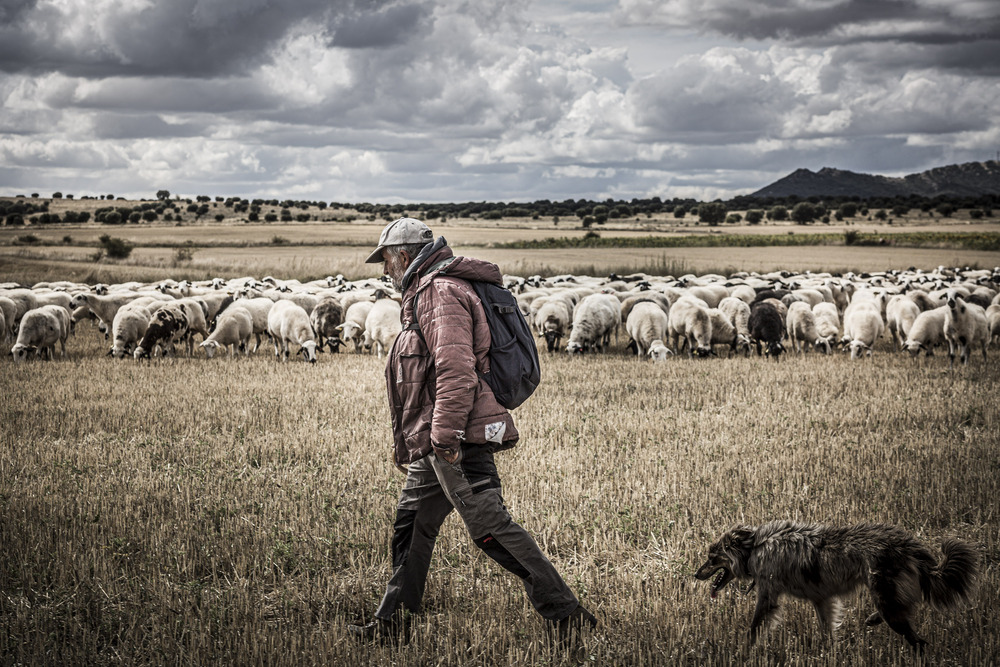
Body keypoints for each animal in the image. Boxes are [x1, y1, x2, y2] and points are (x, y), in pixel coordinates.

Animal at [696, 520, 976, 652]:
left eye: (711, 558)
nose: (695, 574)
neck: (753, 547)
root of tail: (908, 544)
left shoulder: (767, 597)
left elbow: (753, 629)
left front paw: (742, 651)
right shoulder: (822, 600)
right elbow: (827, 631)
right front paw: (831, 652)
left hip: (886, 600)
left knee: (917, 640)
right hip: (887, 599)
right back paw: (872, 619)